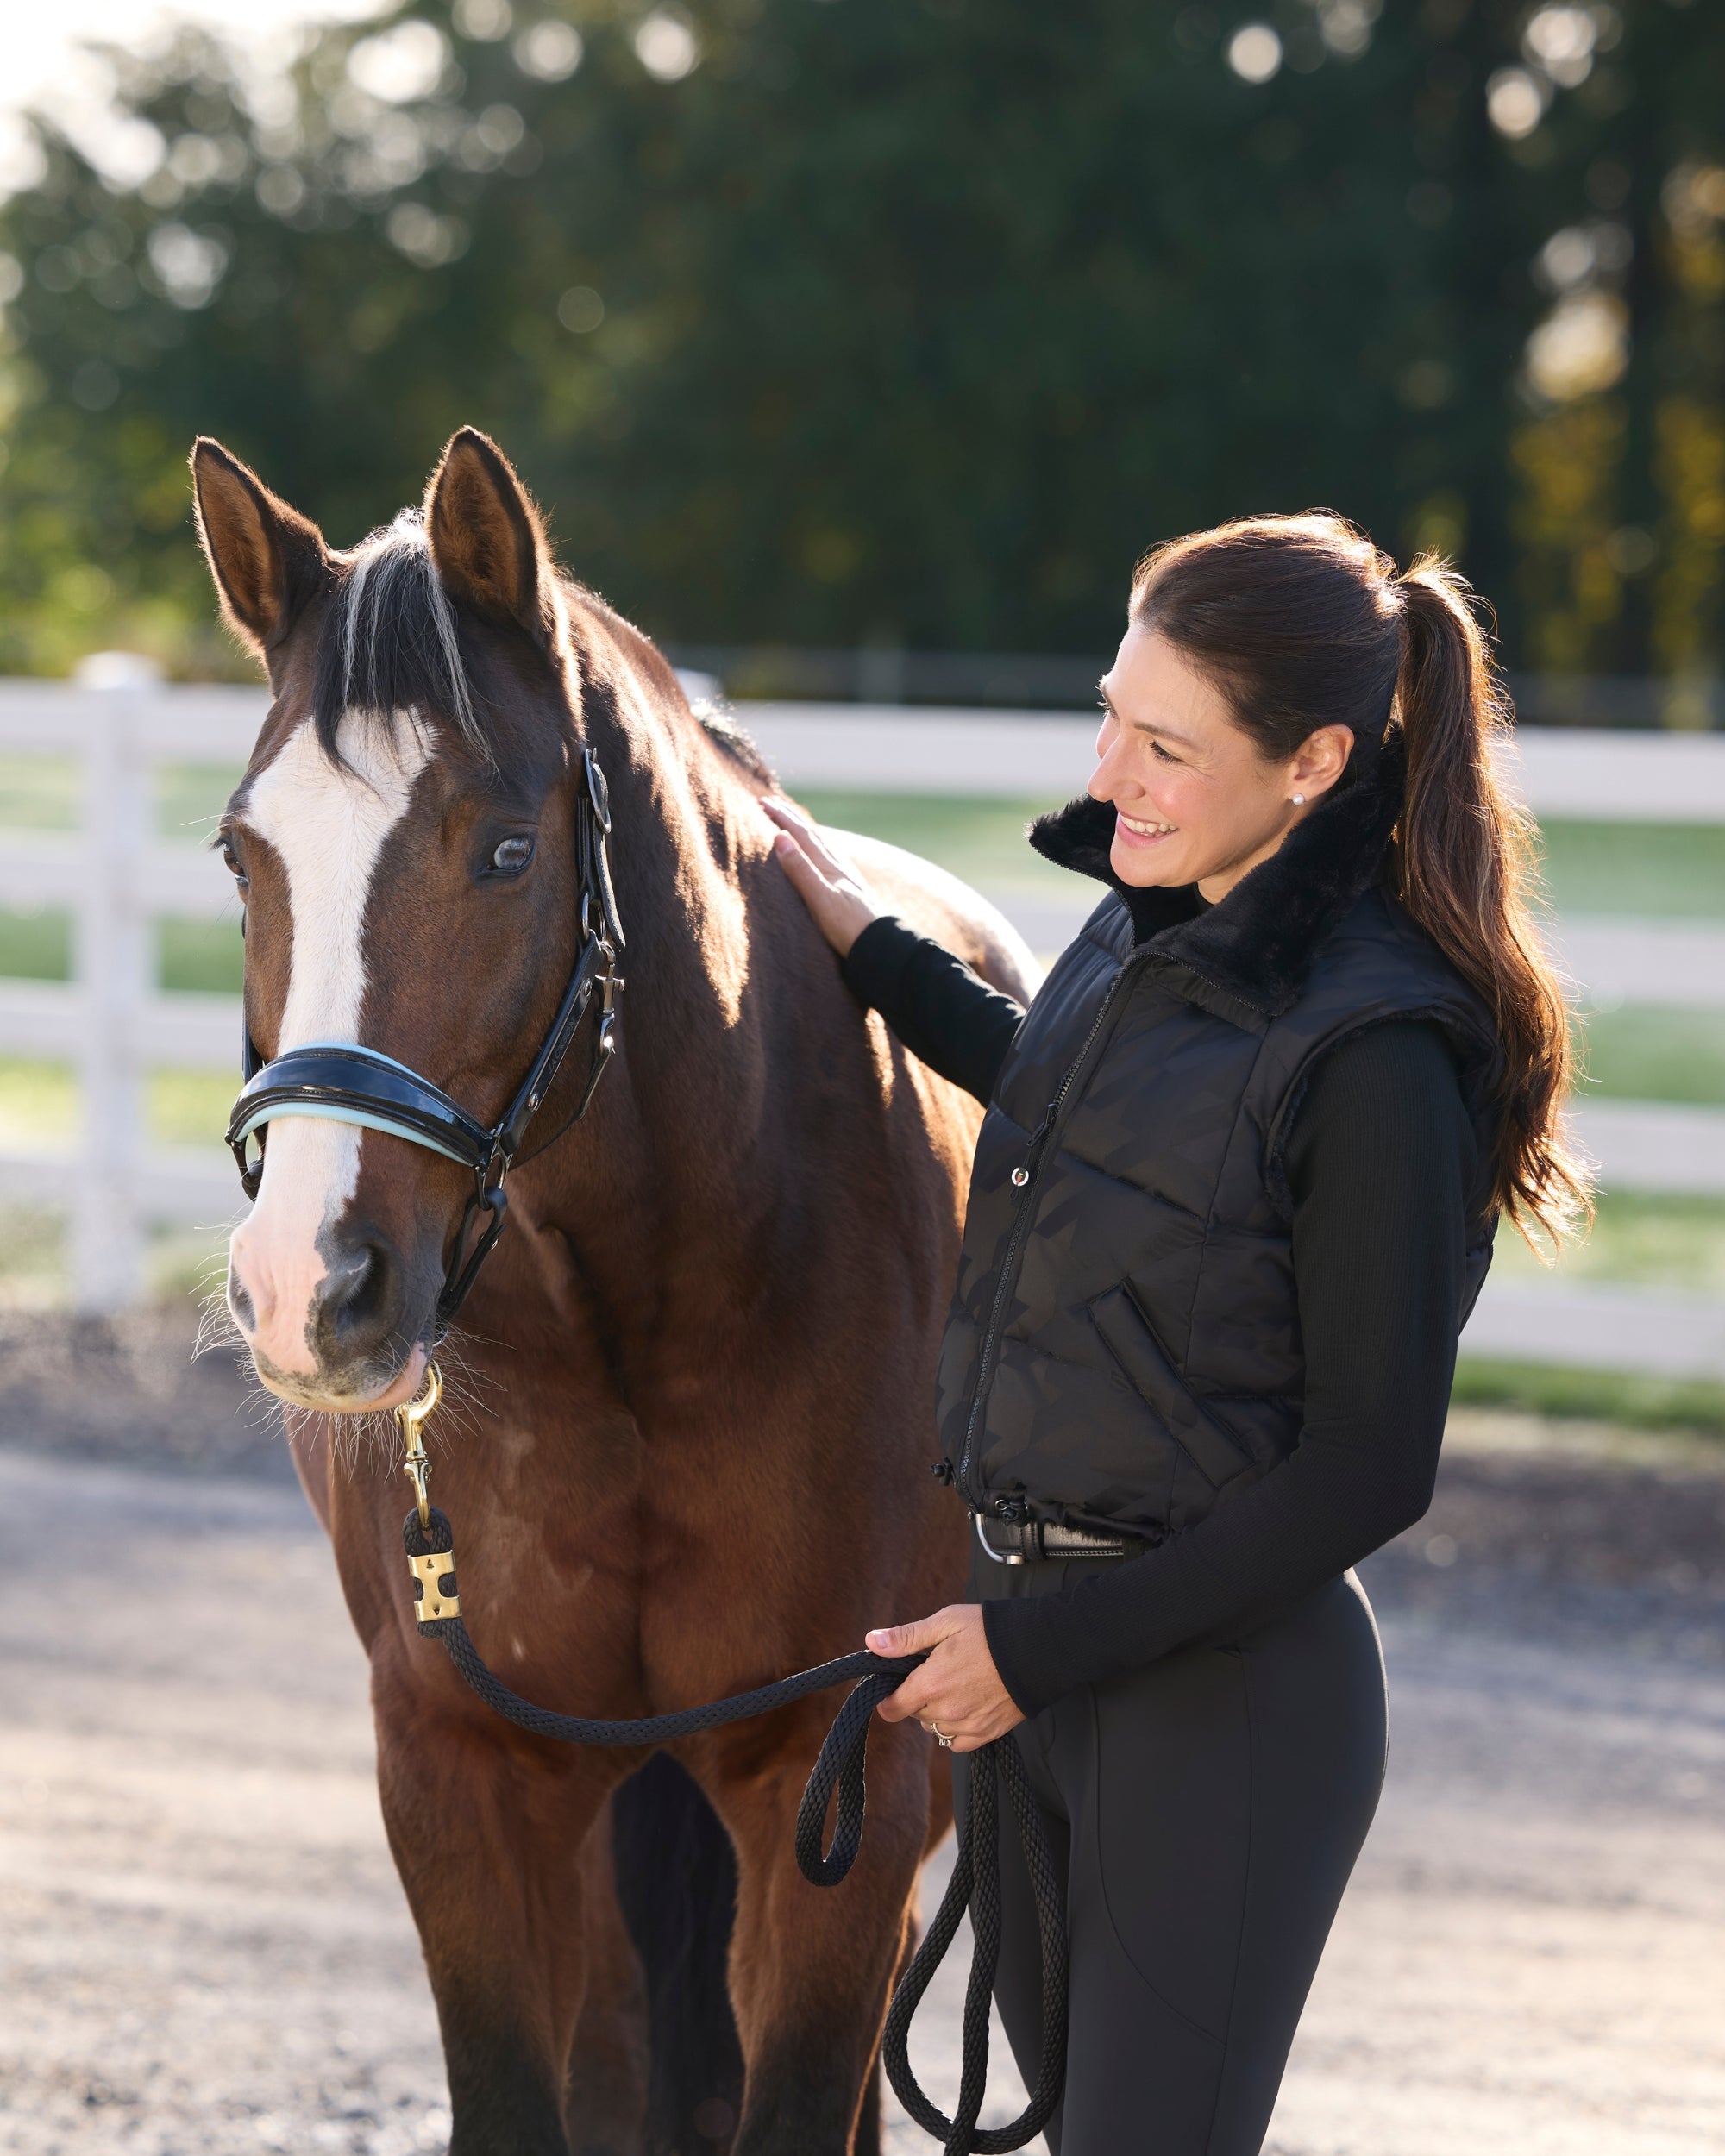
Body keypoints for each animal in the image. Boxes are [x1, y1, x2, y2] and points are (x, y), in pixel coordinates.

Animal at [190, 425, 1038, 2156]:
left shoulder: (836, 1795)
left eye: (509, 849)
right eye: (244, 855)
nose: (312, 1287)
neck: (640, 1318)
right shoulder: (460, 1774)